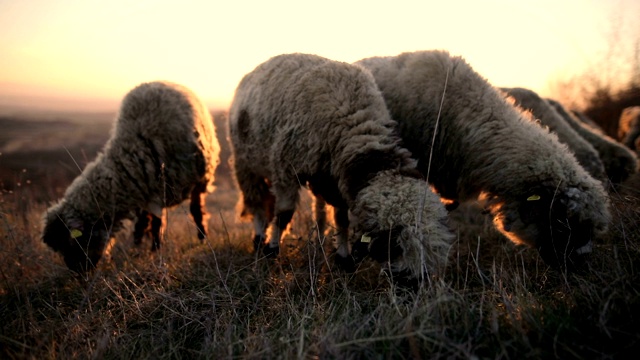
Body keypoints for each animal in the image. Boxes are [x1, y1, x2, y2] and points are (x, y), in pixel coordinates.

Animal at [42, 81, 220, 272]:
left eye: (74, 242)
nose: (79, 272)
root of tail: (164, 82)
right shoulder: (147, 192)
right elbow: (149, 222)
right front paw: (145, 247)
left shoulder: (169, 188)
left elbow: (168, 220)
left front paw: (157, 251)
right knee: (143, 220)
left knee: (195, 209)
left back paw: (200, 236)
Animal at [229, 53, 456, 284]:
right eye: (397, 246)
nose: (414, 286)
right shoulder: (285, 169)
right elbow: (284, 214)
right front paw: (272, 248)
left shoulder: (335, 179)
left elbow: (342, 220)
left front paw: (343, 258)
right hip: (246, 164)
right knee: (257, 202)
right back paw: (259, 239)